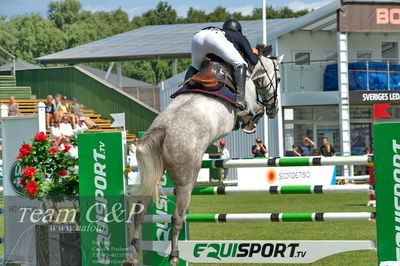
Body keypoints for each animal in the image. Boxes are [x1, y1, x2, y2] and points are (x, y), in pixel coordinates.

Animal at [126, 50, 282, 266]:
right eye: (279, 78)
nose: (274, 110)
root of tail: (163, 129)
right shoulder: (250, 105)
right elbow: (254, 112)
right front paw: (250, 124)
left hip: (152, 174)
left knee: (139, 213)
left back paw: (132, 255)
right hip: (186, 181)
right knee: (176, 218)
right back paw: (174, 257)